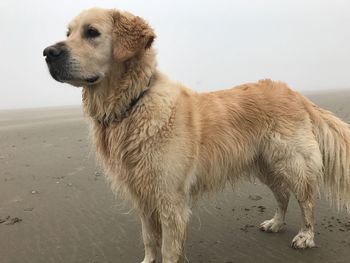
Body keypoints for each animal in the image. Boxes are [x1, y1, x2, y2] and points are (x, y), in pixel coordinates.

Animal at [43, 7, 350, 262]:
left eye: (92, 32)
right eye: (68, 33)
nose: (47, 52)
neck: (132, 103)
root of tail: (296, 94)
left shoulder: (170, 199)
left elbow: (168, 249)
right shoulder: (143, 196)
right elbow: (149, 240)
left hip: (290, 162)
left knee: (306, 199)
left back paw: (306, 236)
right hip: (265, 164)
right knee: (283, 195)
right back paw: (275, 223)